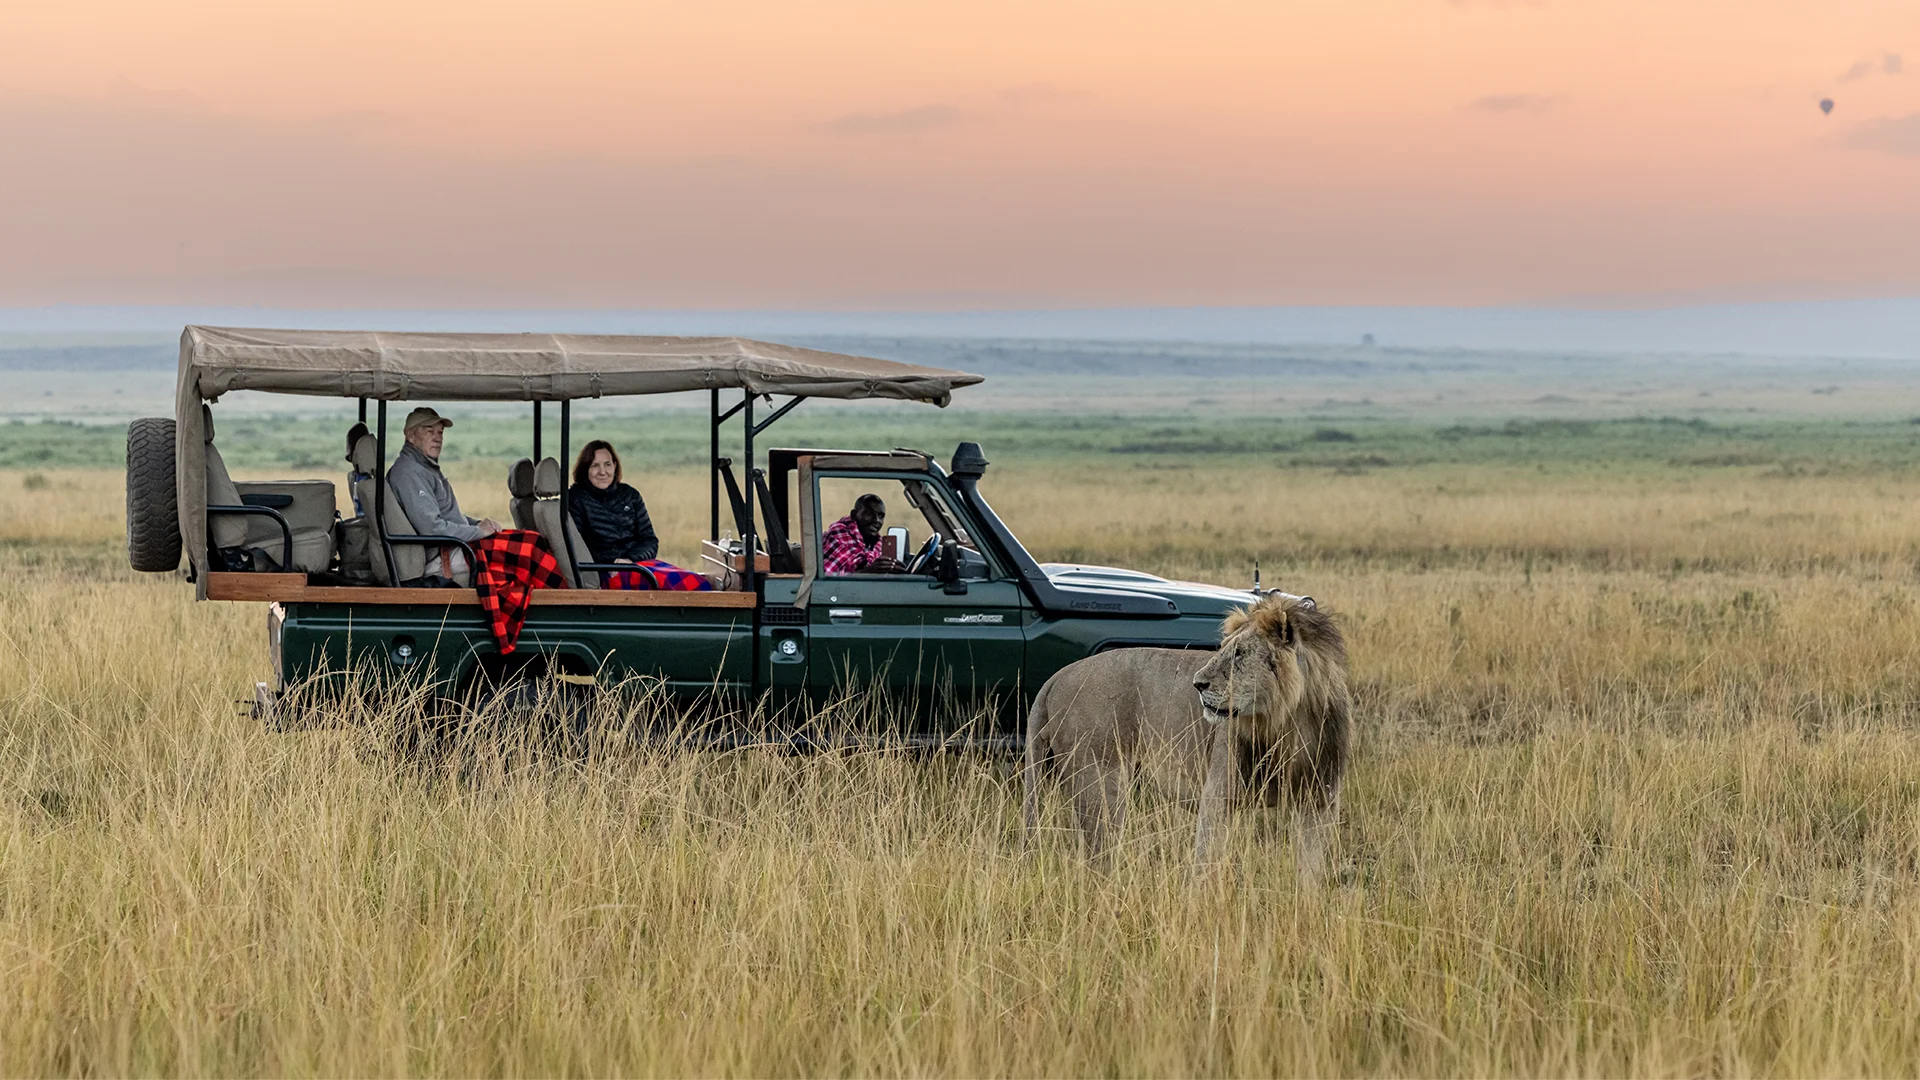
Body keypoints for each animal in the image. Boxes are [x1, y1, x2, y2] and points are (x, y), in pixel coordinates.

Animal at [1022, 592, 1351, 877]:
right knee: (1097, 857)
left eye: (1240, 653)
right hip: (1101, 784)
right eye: (1223, 648)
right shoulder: (1218, 793)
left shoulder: (1319, 799)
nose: (1198, 683)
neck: (1286, 721)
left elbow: (1311, 870)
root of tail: (1060, 675)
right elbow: (1206, 863)